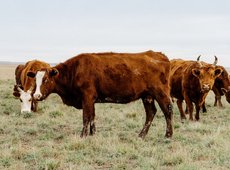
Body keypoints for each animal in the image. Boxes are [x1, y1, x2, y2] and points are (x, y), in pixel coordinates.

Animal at [27, 50, 172, 138]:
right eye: (35, 80)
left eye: (46, 79)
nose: (36, 96)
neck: (74, 71)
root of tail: (158, 55)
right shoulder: (91, 100)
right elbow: (92, 116)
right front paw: (92, 134)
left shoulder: (87, 97)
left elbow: (86, 117)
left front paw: (83, 135)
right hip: (147, 96)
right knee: (151, 113)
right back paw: (141, 135)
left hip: (160, 93)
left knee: (167, 110)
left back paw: (168, 135)